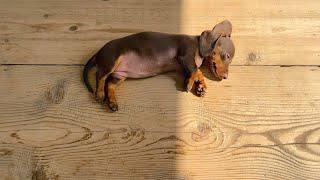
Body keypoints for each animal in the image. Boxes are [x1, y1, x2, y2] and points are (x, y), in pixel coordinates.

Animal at [82, 19, 235, 111]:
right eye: (227, 56)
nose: (226, 77)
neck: (198, 44)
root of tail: (98, 53)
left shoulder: (186, 66)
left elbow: (195, 72)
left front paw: (200, 86)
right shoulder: (185, 57)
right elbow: (197, 71)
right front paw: (195, 84)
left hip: (120, 76)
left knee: (110, 84)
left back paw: (112, 101)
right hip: (112, 60)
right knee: (100, 76)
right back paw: (100, 93)